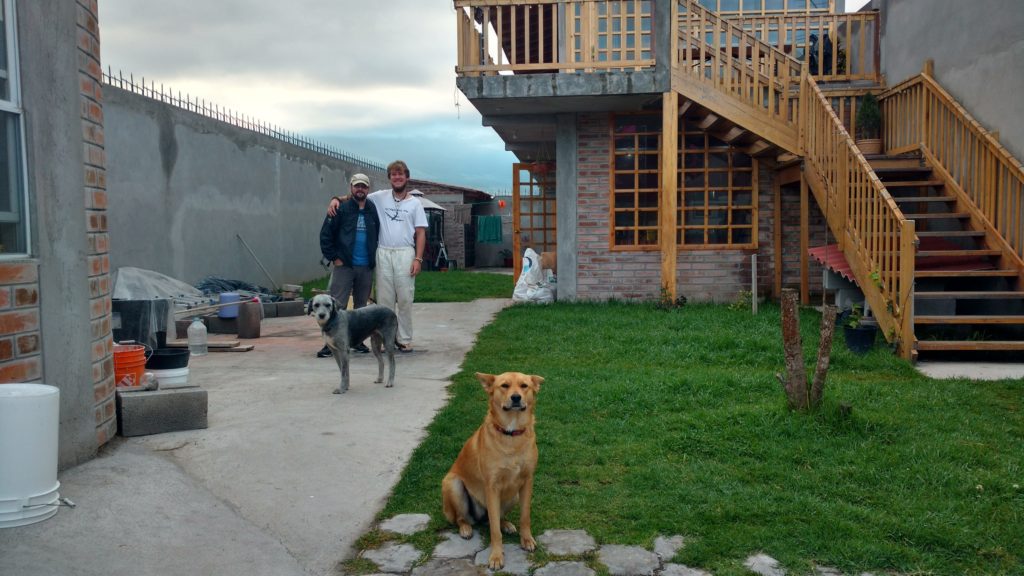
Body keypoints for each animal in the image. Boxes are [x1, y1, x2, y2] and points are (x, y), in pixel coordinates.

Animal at [444, 368, 548, 565]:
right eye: (504, 385)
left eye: (524, 386)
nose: (516, 397)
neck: (511, 433)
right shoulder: (491, 486)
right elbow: (494, 531)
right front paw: (496, 556)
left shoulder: (527, 481)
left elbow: (525, 517)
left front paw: (527, 540)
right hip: (452, 484)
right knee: (463, 518)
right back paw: (465, 529)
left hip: (513, 495)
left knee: (497, 517)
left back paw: (506, 524)